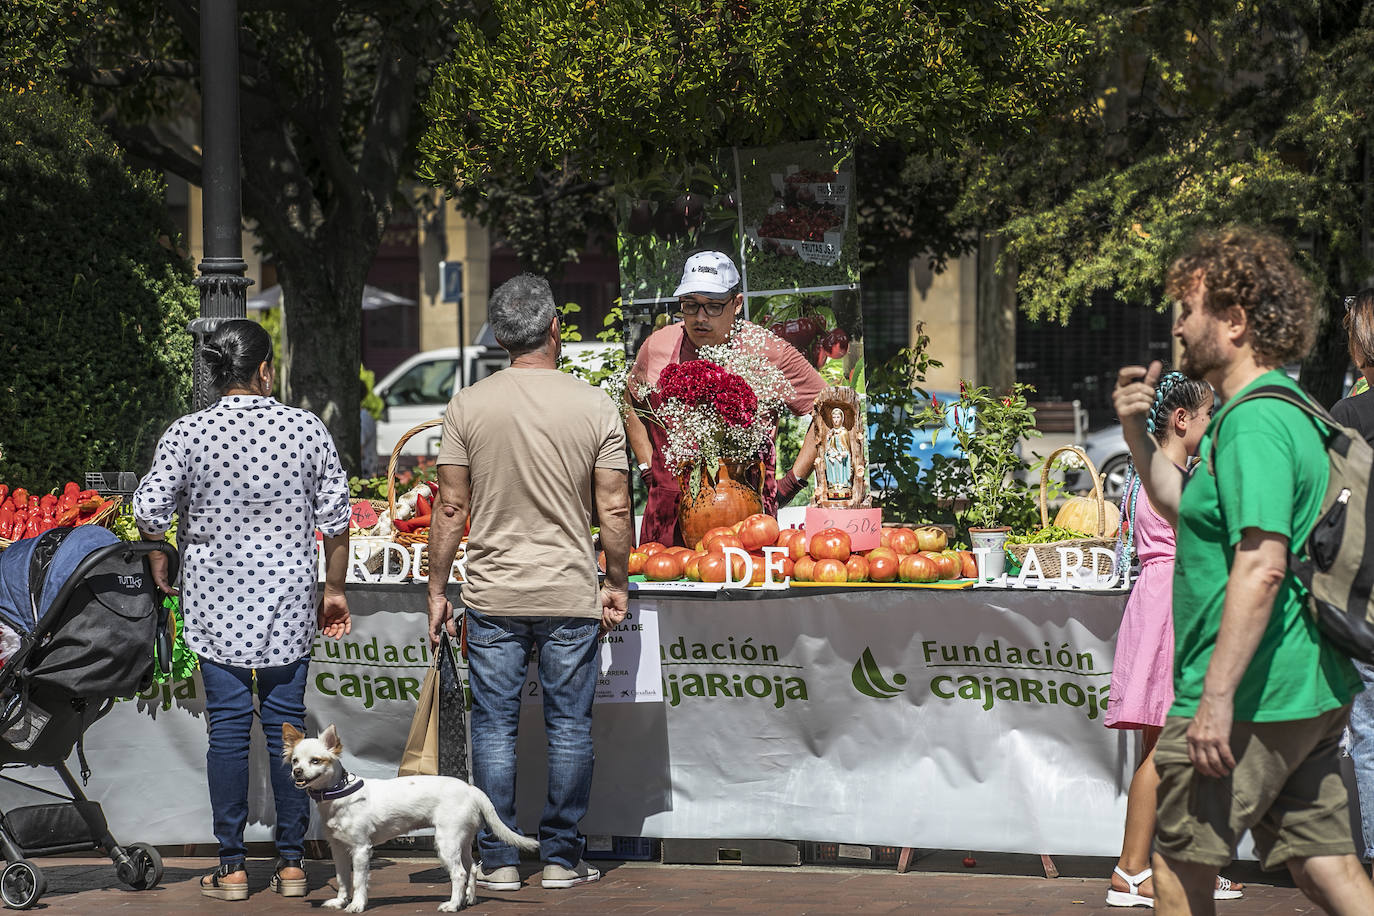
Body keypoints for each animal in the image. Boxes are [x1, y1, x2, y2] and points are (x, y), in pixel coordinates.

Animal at [281, 725, 538, 911]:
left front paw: (356, 905)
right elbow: (343, 879)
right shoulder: (339, 850)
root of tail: (471, 788)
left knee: (459, 874)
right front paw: (340, 901)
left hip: (446, 843)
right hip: (462, 840)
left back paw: (453, 905)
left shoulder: (361, 849)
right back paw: (469, 900)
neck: (338, 794)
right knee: (472, 868)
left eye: (315, 760)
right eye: (294, 760)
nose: (297, 772)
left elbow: (358, 881)